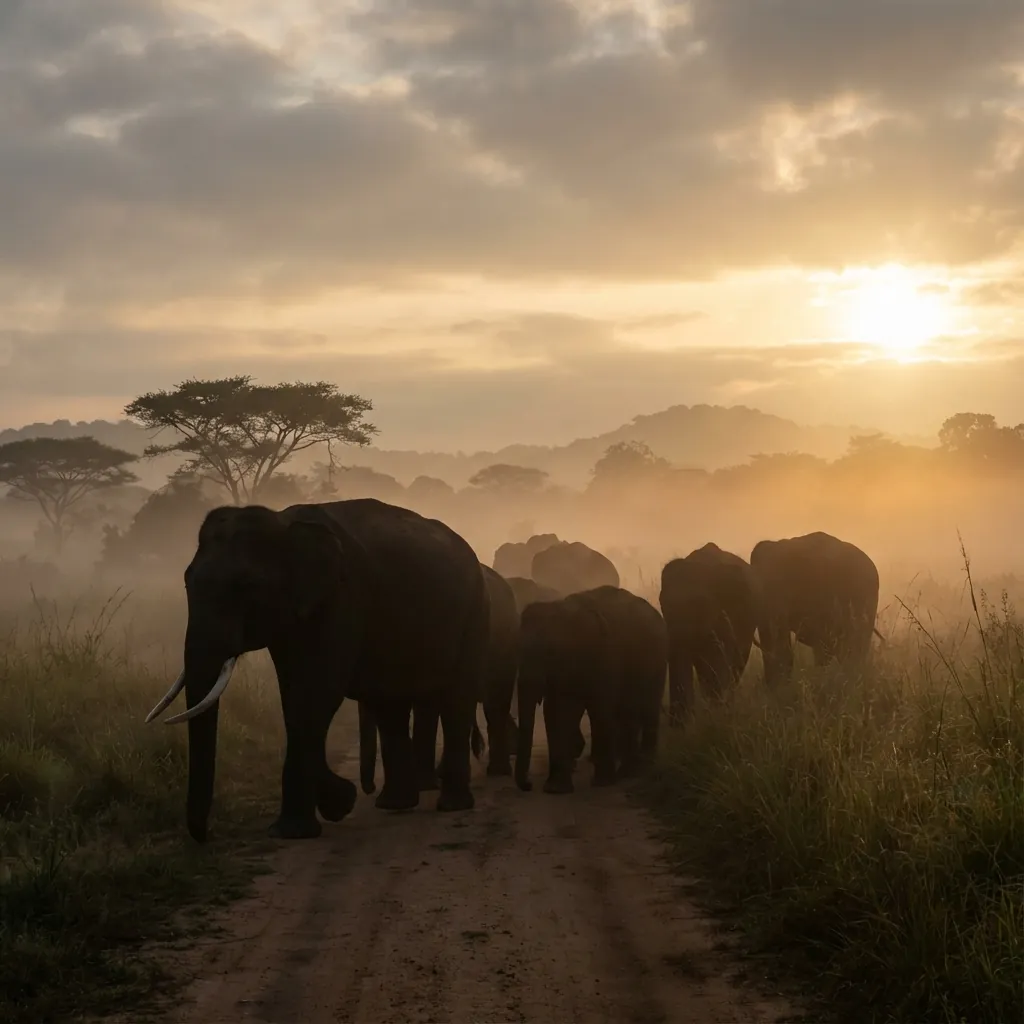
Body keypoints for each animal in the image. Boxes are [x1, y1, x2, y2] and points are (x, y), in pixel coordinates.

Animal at [143, 498, 489, 843]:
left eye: (247, 586)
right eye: (187, 583)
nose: (206, 837)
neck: (283, 525)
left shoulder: (342, 596)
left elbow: (317, 693)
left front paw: (298, 828)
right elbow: (293, 697)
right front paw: (339, 803)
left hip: (473, 610)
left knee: (456, 700)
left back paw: (452, 806)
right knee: (389, 705)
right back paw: (395, 804)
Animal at [515, 585, 668, 795]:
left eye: (550, 652)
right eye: (518, 651)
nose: (528, 785)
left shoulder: (605, 656)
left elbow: (599, 708)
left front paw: (602, 783)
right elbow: (556, 711)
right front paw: (555, 790)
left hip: (658, 661)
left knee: (647, 708)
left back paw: (642, 769)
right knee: (628, 712)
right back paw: (628, 772)